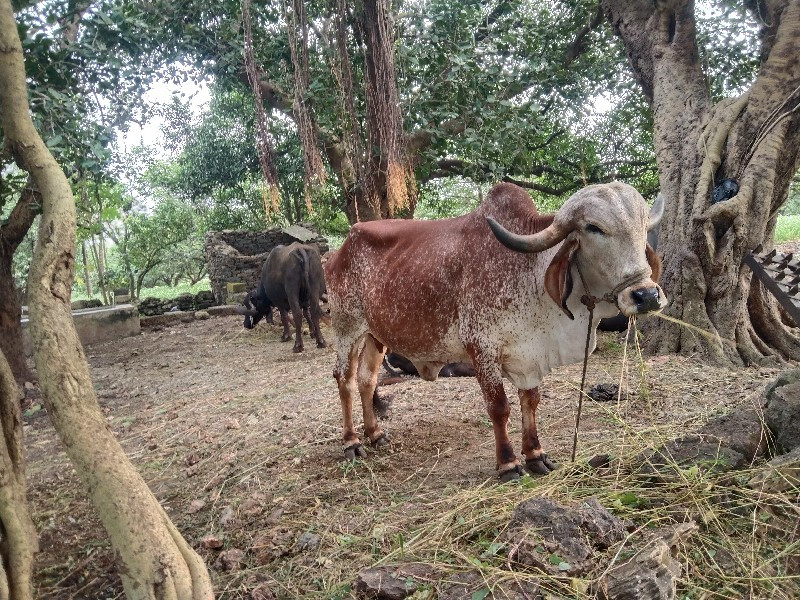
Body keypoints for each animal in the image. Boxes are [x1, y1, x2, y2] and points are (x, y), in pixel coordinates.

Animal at [322, 183, 664, 482]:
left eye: (643, 225)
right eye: (594, 228)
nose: (646, 295)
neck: (529, 271)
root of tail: (339, 250)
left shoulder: (529, 354)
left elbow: (531, 401)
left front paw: (535, 455)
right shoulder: (481, 347)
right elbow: (499, 407)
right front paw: (509, 463)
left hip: (375, 336)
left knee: (367, 380)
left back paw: (375, 434)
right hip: (347, 328)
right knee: (345, 379)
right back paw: (351, 441)